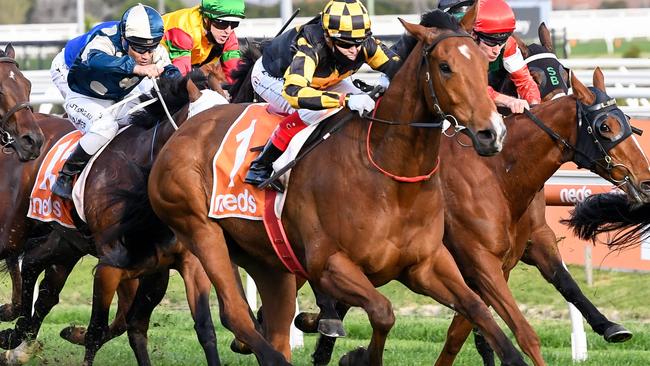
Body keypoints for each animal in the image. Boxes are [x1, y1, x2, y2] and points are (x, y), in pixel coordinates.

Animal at [134, 12, 528, 366]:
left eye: (483, 64)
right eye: (445, 67)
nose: (492, 133)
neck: (390, 176)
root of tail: (181, 130)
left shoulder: (427, 264)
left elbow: (479, 309)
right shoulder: (329, 265)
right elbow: (383, 312)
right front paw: (357, 355)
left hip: (267, 260)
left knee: (273, 325)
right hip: (200, 230)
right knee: (236, 315)